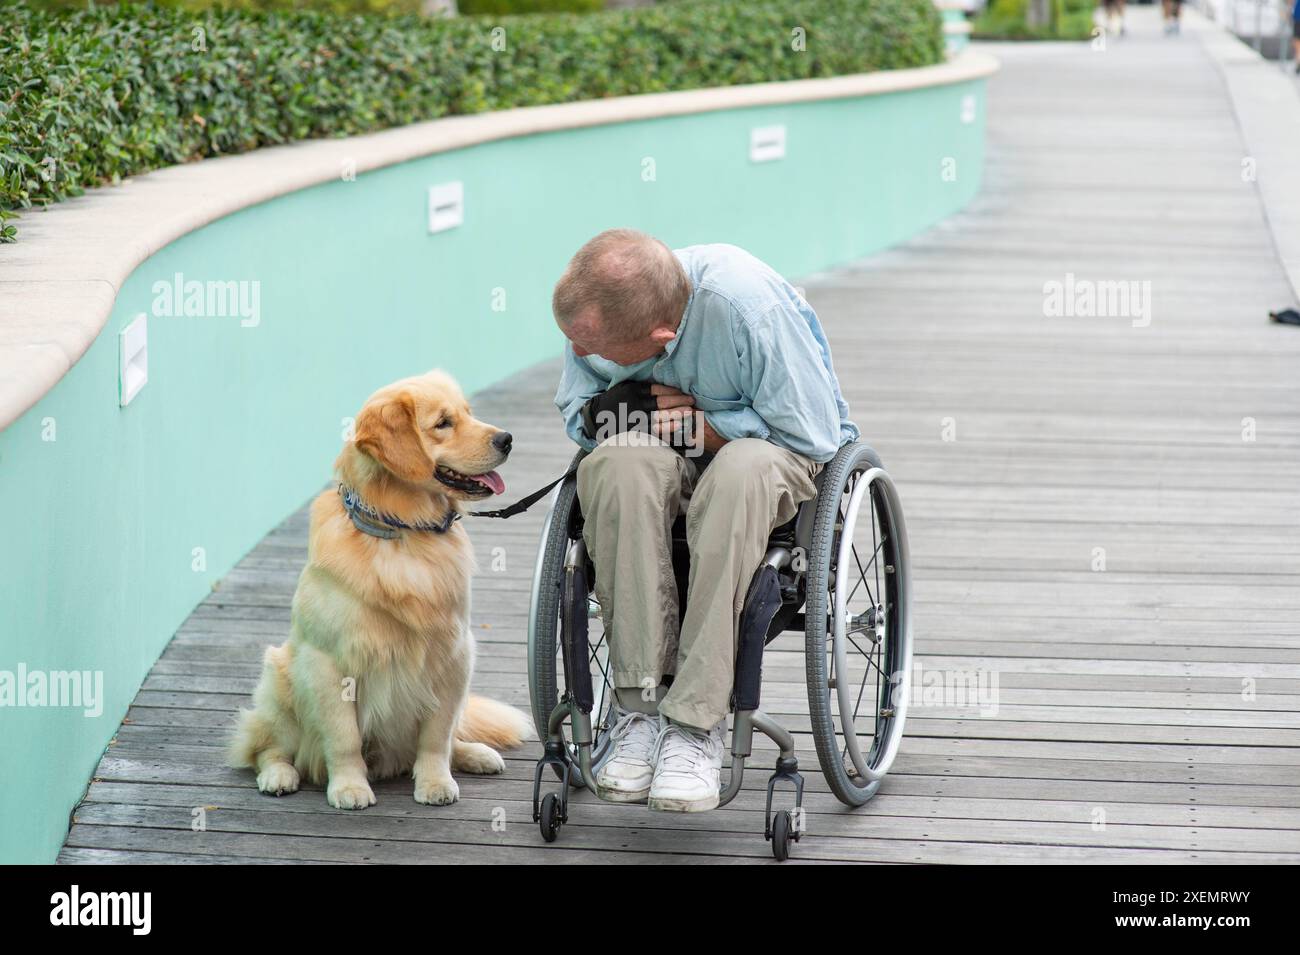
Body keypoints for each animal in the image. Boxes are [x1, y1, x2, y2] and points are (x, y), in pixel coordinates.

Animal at [228, 369, 527, 810]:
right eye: (443, 423)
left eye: (469, 413)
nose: (506, 438)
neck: (404, 533)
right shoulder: (327, 664)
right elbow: (344, 738)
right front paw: (350, 786)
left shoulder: (455, 655)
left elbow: (437, 735)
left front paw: (435, 782)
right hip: (280, 675)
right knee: (266, 747)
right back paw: (279, 775)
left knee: (453, 735)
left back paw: (474, 754)